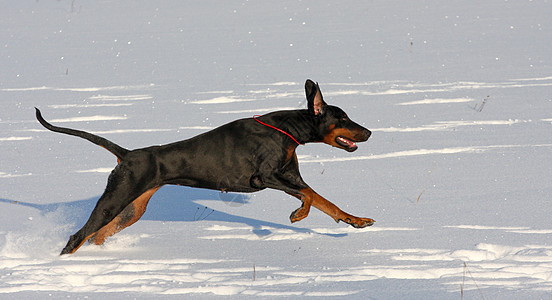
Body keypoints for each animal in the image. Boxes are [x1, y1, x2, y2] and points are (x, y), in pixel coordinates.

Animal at [35, 78, 376, 254]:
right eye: (343, 118)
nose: (370, 132)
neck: (288, 130)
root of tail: (127, 154)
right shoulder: (264, 177)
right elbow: (307, 199)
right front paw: (297, 215)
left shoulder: (290, 178)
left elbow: (323, 200)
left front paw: (355, 220)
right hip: (114, 201)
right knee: (77, 237)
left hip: (131, 210)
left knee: (96, 236)